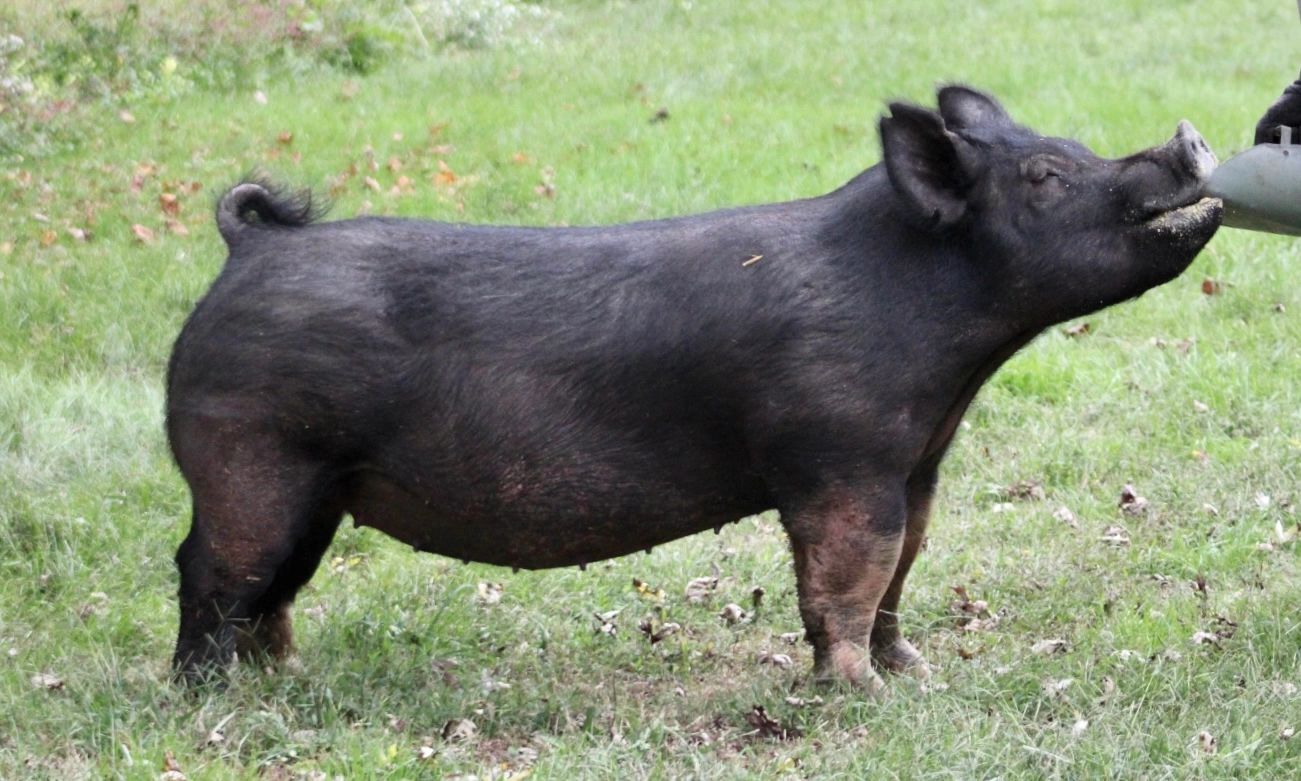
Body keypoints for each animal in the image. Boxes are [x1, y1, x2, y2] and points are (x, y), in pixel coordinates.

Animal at [168, 86, 1220, 690]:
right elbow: (848, 576)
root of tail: (249, 246)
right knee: (209, 569)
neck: (954, 358)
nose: (1186, 140)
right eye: (1044, 174)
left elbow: (901, 569)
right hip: (247, 454)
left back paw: (286, 678)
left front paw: (910, 668)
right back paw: (212, 699)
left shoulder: (915, 466)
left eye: (1075, 144)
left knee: (272, 585)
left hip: (316, 486)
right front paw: (861, 693)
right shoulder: (836, 457)